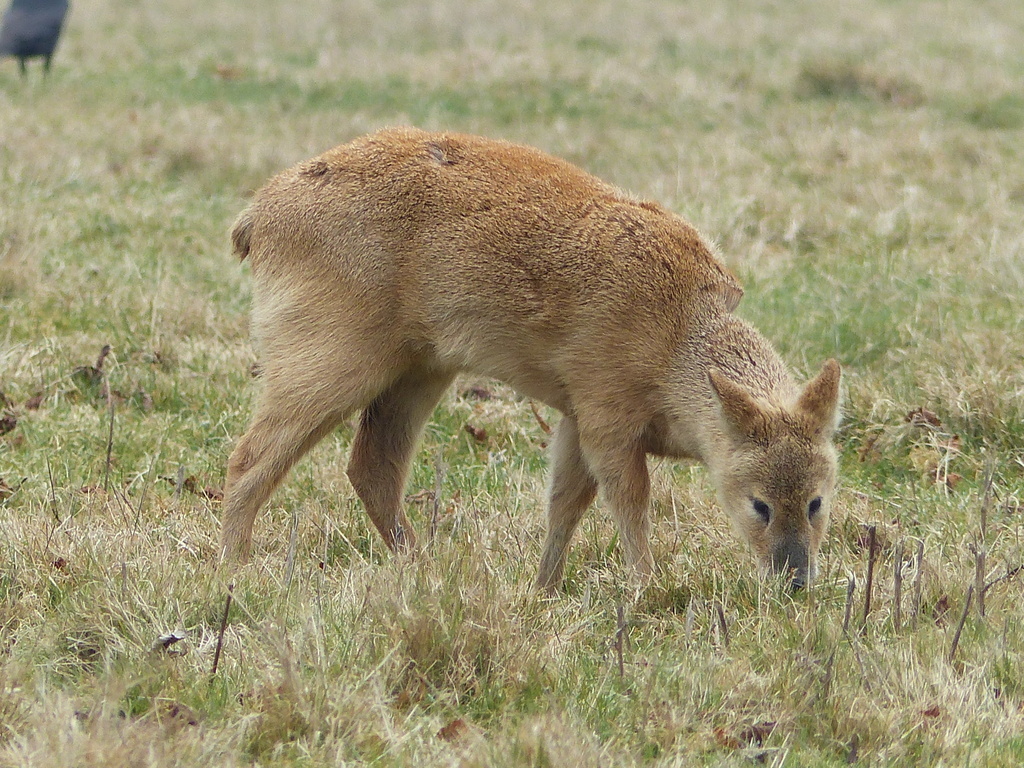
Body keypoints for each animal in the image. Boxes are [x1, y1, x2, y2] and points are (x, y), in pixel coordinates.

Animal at [222, 129, 839, 593]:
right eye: (759, 505)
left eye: (817, 500)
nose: (795, 581)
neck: (676, 339)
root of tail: (257, 218)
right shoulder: (604, 410)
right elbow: (628, 500)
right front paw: (646, 588)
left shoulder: (573, 415)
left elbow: (565, 503)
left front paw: (543, 588)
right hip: (329, 352)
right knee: (250, 456)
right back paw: (234, 569)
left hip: (420, 366)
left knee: (371, 466)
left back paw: (423, 567)